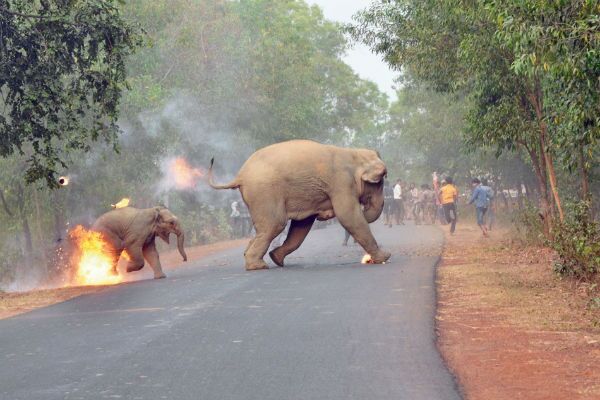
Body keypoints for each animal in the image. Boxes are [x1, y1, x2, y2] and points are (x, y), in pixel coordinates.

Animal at [209, 139, 392, 270]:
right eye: (380, 182)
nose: (366, 208)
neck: (354, 154)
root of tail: (240, 175)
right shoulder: (341, 182)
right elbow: (349, 216)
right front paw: (385, 257)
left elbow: (302, 226)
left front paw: (276, 257)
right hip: (264, 192)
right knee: (275, 224)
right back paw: (258, 266)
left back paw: (259, 259)